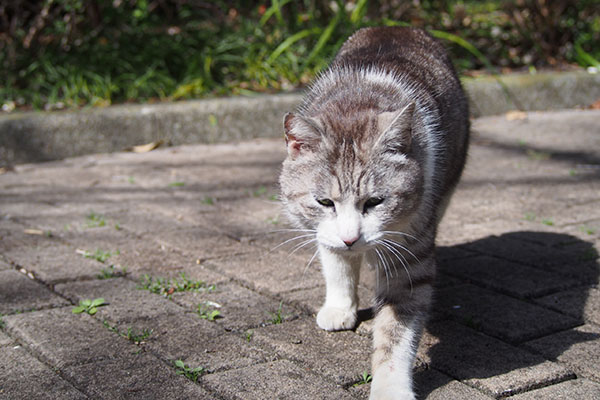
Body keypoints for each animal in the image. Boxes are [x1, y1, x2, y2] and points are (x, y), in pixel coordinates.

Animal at [278, 26, 472, 398]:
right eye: (324, 203)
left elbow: (394, 336)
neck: (356, 101)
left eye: (375, 202)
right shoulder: (326, 232)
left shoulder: (410, 260)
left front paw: (391, 387)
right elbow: (337, 267)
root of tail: (399, 26)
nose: (351, 238)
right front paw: (340, 308)